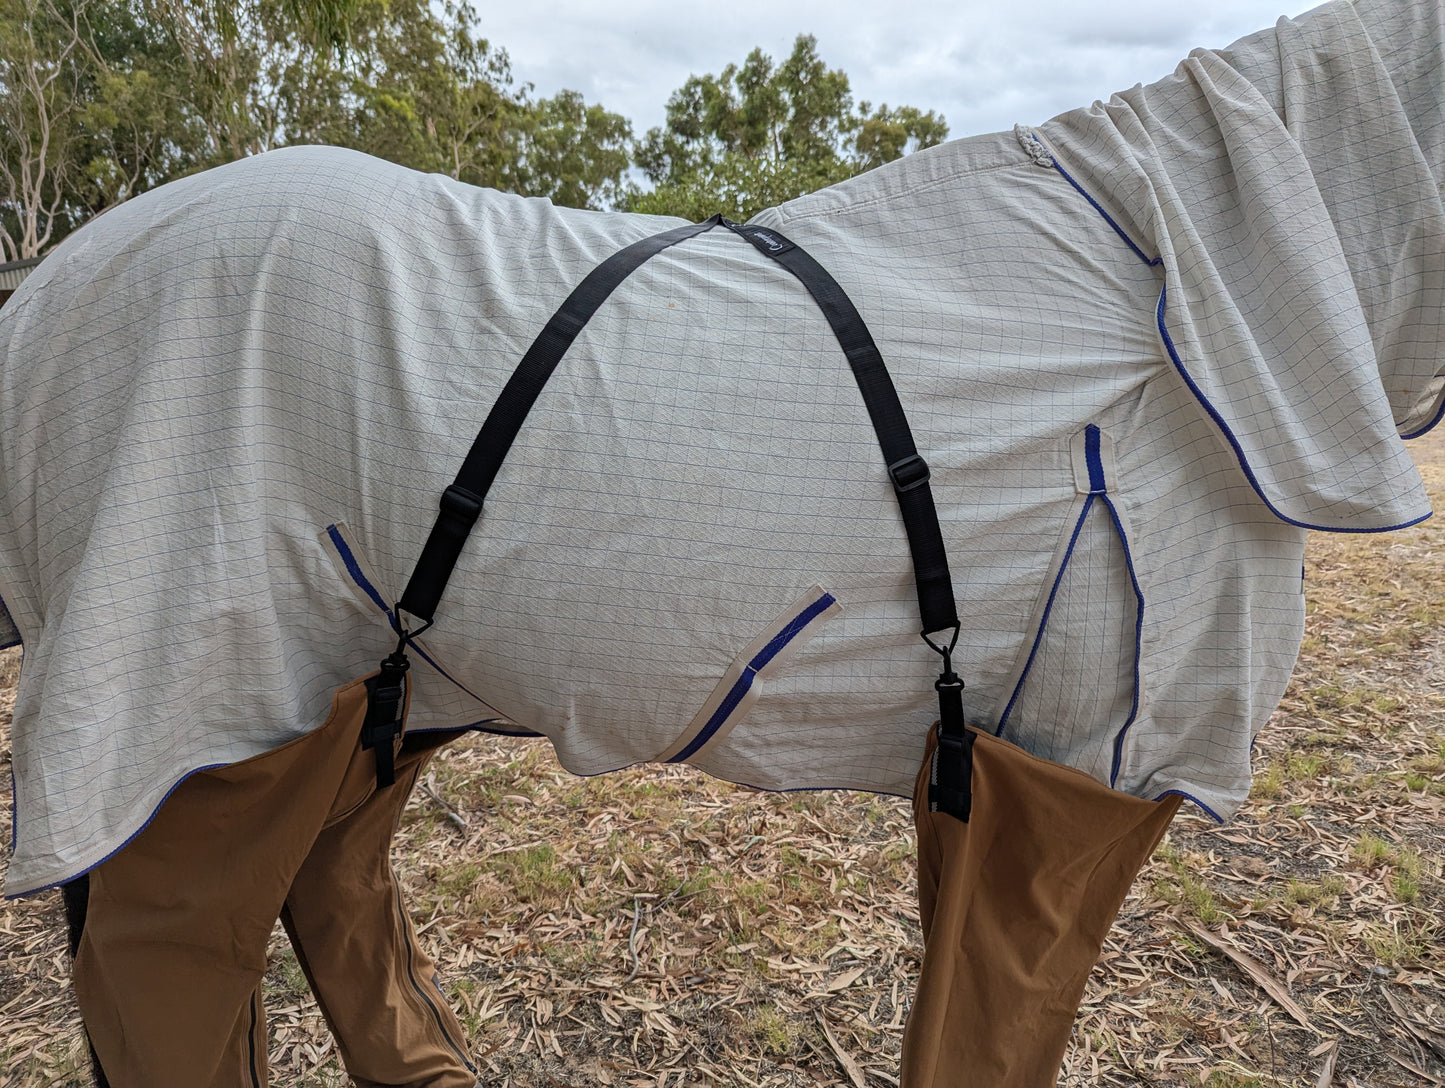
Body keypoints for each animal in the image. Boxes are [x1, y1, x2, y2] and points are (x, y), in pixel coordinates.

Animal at [0, 0, 1439, 1080]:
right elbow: (990, 1031)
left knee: (321, 884)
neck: (1170, 308)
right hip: (193, 704)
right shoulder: (1080, 780)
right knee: (166, 951)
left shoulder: (1012, 781)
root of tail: (60, 275)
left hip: (381, 690)